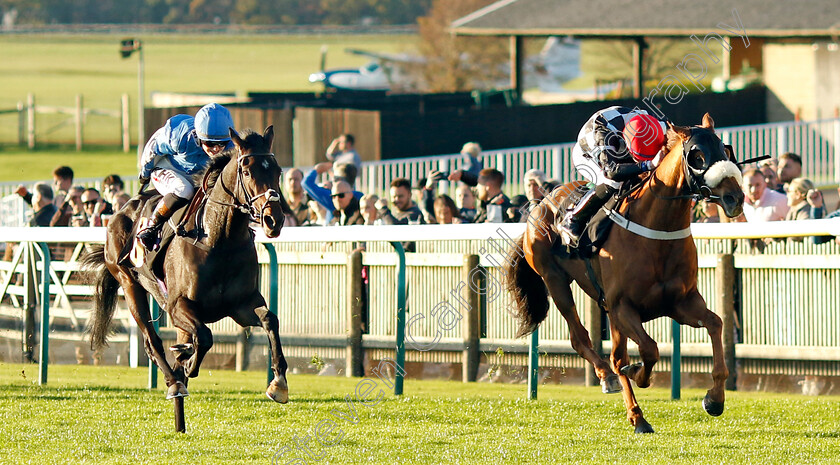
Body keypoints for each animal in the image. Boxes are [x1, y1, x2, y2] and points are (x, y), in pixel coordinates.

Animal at [83, 127, 292, 402]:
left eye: (277, 171)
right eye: (247, 171)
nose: (273, 220)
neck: (219, 240)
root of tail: (121, 210)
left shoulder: (240, 305)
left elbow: (270, 320)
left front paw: (278, 383)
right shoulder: (176, 305)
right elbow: (204, 337)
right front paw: (188, 363)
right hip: (129, 284)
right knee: (152, 341)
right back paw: (175, 382)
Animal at [508, 113, 744, 432]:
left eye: (724, 151)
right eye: (697, 156)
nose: (735, 198)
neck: (658, 230)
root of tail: (540, 204)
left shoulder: (681, 303)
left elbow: (716, 324)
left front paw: (714, 399)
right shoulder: (623, 306)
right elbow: (648, 351)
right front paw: (637, 373)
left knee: (616, 354)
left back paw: (637, 415)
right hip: (556, 281)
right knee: (583, 340)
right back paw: (612, 383)